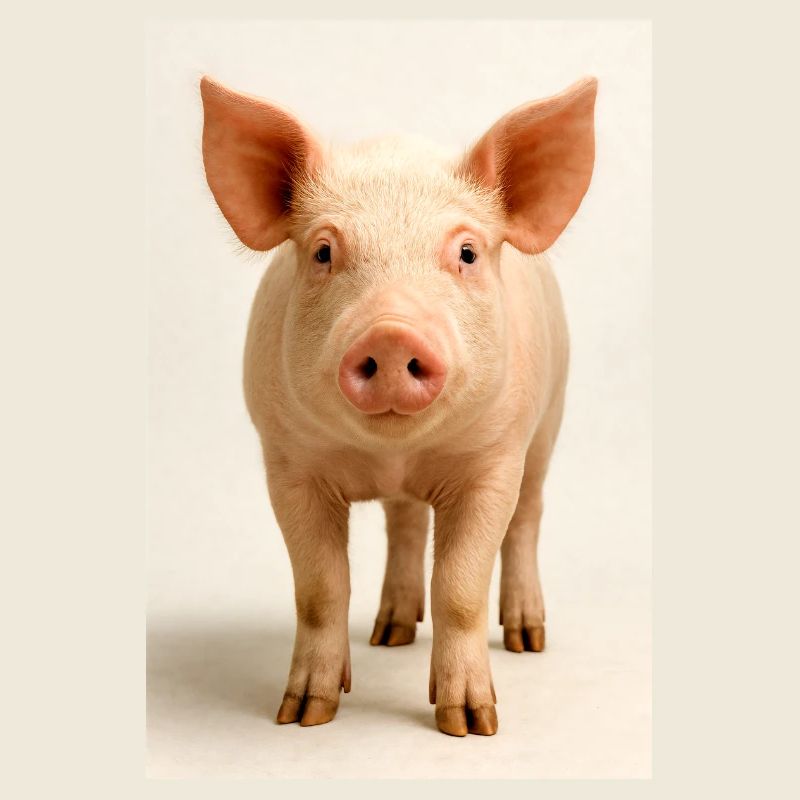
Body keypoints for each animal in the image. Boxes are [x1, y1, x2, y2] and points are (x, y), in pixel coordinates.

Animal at [200, 74, 597, 737]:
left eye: (466, 253)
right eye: (323, 252)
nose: (391, 333)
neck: (395, 454)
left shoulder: (494, 460)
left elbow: (460, 586)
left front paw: (472, 725)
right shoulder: (287, 463)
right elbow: (319, 588)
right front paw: (303, 716)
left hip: (551, 419)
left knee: (527, 518)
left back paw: (527, 639)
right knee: (406, 523)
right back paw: (389, 634)